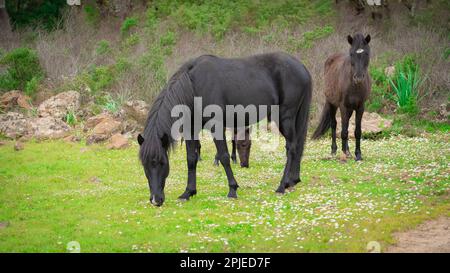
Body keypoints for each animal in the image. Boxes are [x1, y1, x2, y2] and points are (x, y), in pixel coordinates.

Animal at [139, 52, 312, 205]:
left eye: (162, 162)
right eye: (144, 165)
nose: (155, 200)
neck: (194, 86)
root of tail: (302, 67)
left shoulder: (216, 126)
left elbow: (224, 156)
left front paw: (232, 189)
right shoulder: (191, 129)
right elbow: (191, 159)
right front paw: (188, 192)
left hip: (285, 117)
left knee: (292, 148)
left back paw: (282, 186)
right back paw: (292, 181)